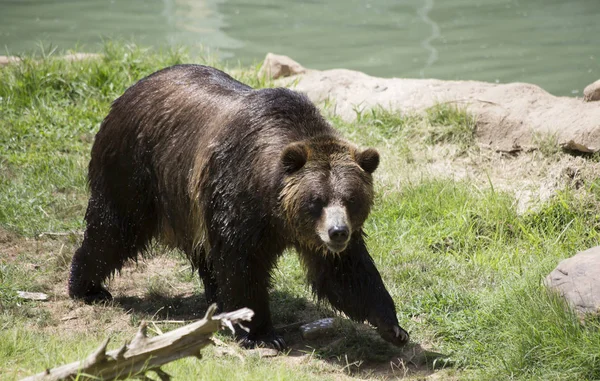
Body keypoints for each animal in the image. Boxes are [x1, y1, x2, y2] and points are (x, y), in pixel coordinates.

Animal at [68, 63, 410, 348]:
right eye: (316, 200)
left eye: (351, 199)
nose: (337, 232)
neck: (274, 206)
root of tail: (128, 91)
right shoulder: (238, 197)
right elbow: (242, 263)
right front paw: (261, 333)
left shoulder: (313, 235)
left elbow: (346, 273)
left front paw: (393, 327)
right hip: (134, 168)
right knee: (114, 229)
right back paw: (87, 287)